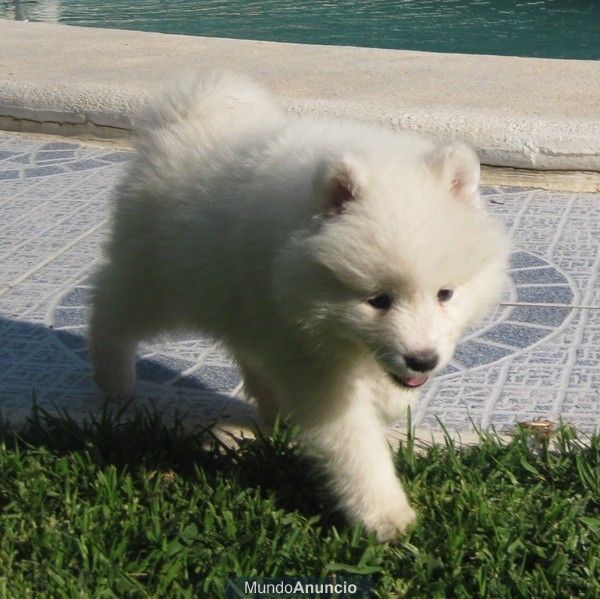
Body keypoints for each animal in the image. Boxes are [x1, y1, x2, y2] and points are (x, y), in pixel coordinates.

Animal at [90, 71, 510, 544]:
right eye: (377, 300)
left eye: (445, 294)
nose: (422, 360)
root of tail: (182, 120)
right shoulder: (314, 362)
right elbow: (353, 440)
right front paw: (384, 514)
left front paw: (390, 401)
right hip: (162, 281)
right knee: (111, 304)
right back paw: (113, 376)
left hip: (232, 298)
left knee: (245, 348)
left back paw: (273, 405)